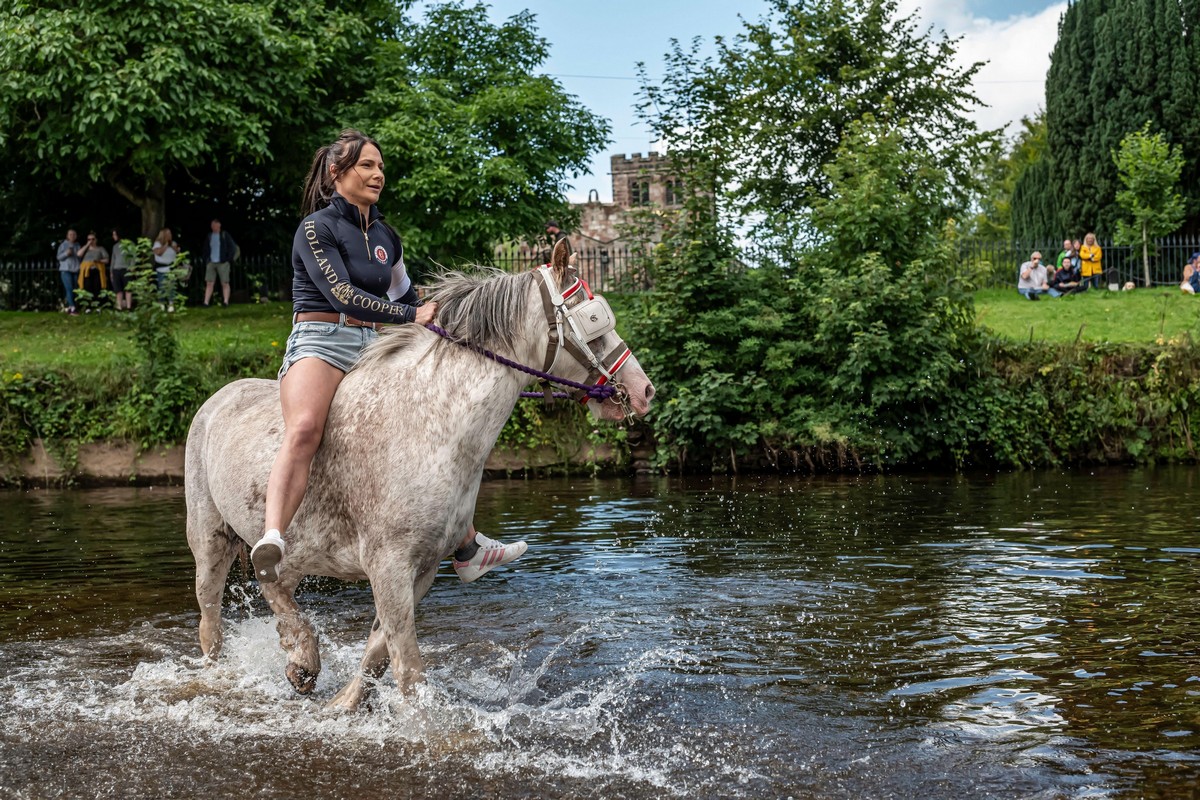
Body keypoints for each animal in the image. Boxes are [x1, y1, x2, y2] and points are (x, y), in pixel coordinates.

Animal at [184, 253, 657, 710]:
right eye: (592, 320)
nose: (644, 390)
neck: (428, 426)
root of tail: (218, 397)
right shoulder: (389, 565)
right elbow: (409, 669)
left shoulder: (423, 568)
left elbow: (379, 651)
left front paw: (343, 704)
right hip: (209, 540)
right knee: (212, 622)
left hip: (295, 553)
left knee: (274, 585)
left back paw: (301, 661)